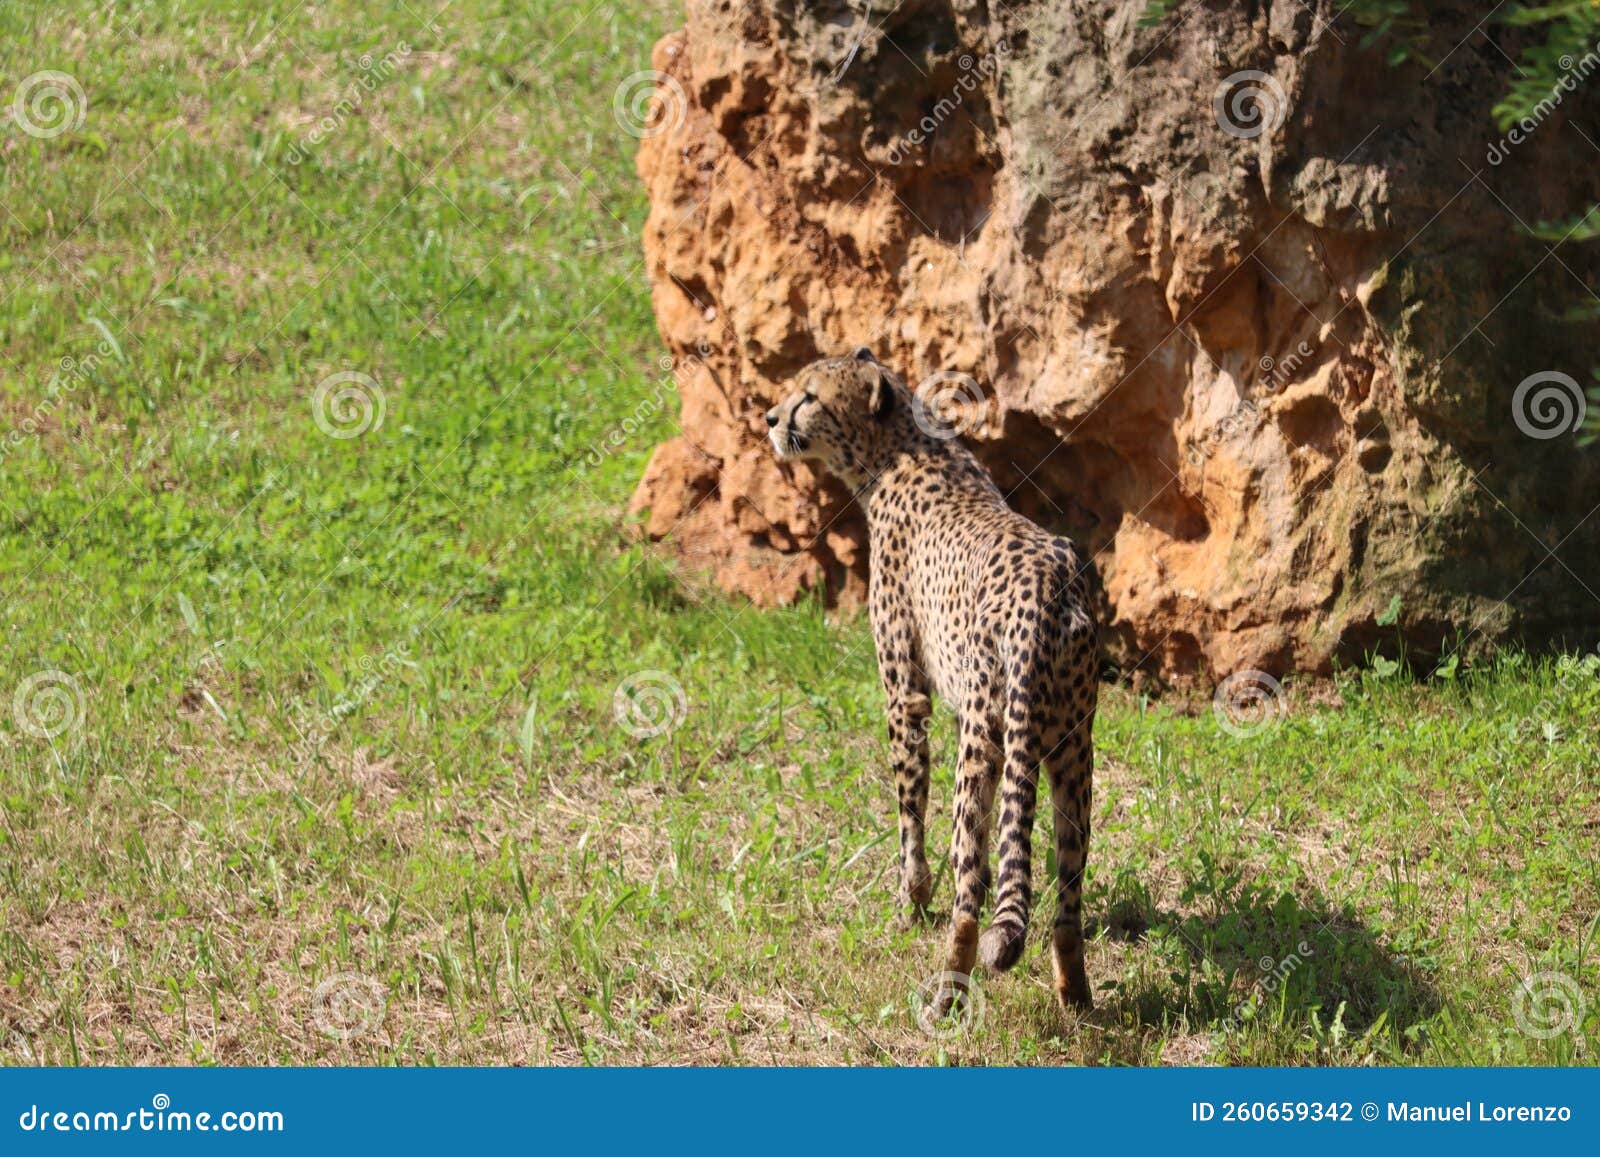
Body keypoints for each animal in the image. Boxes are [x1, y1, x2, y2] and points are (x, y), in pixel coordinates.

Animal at [764, 348, 1100, 1017]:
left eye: (808, 397)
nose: (769, 417)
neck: (901, 447)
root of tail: (1047, 587)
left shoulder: (905, 694)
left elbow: (909, 810)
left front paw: (909, 900)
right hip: (1075, 749)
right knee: (1067, 897)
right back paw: (1075, 997)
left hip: (983, 740)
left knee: (969, 881)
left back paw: (946, 993)